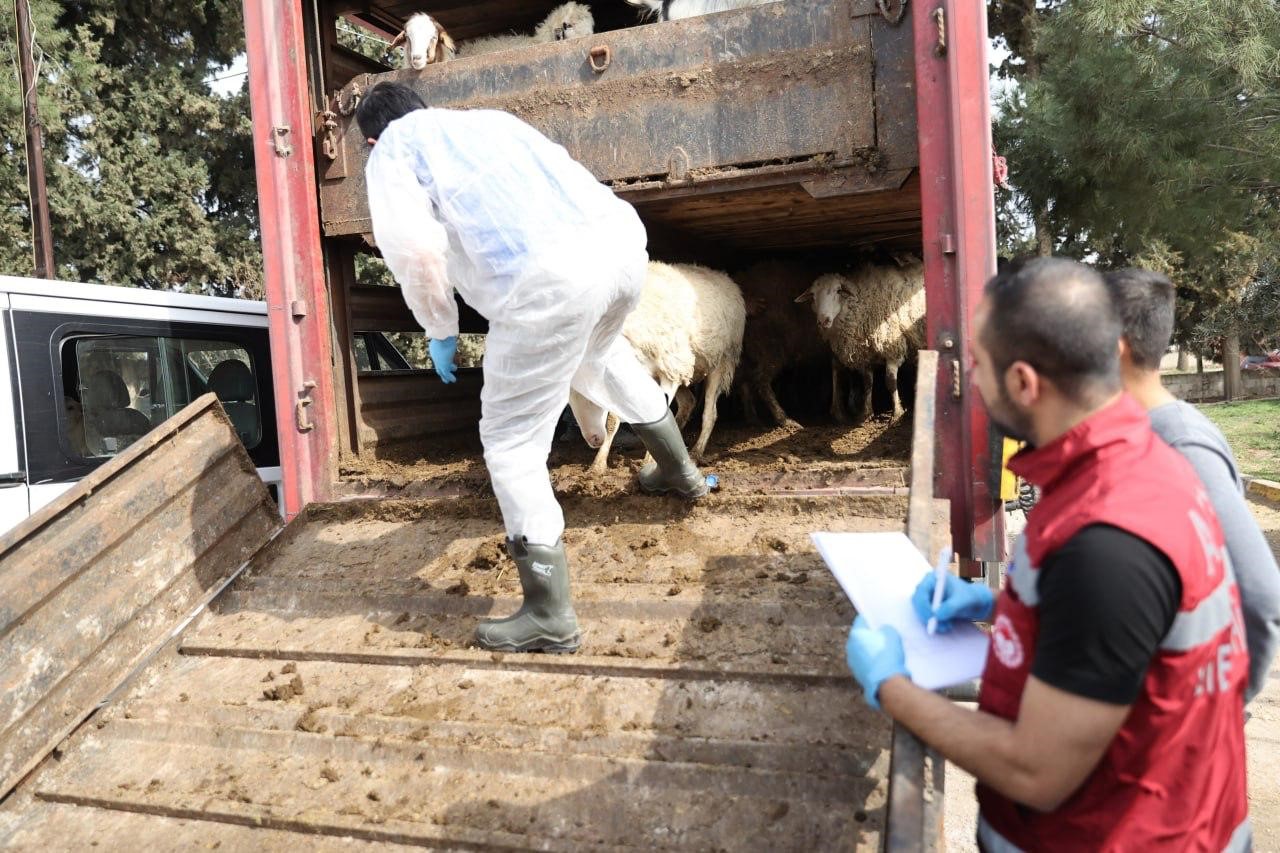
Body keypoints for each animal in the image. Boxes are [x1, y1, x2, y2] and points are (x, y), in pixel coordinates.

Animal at [568, 258, 747, 471]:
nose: (592, 439)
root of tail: (721, 275)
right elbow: (613, 420)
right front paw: (598, 464)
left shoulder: (670, 369)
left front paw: (649, 461)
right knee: (688, 402)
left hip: (718, 361)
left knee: (709, 413)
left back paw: (696, 453)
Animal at [737, 257, 834, 425]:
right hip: (771, 347)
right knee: (760, 380)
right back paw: (784, 419)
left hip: (748, 352)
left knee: (745, 381)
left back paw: (753, 419)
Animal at [793, 256, 926, 422]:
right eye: (813, 295)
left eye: (838, 291)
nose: (823, 320)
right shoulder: (865, 352)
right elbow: (867, 383)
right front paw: (866, 413)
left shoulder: (892, 346)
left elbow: (890, 381)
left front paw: (896, 413)